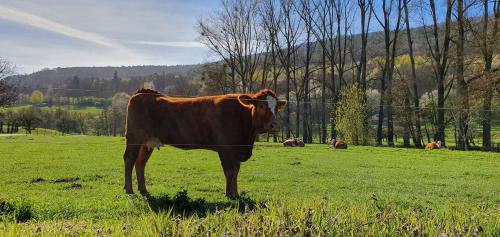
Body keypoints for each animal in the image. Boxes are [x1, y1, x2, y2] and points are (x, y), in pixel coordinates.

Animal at [123, 88, 286, 199]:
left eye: (277, 107)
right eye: (261, 106)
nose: (275, 126)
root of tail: (142, 92)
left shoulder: (236, 150)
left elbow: (236, 171)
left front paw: (236, 193)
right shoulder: (226, 149)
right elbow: (230, 171)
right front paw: (230, 194)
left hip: (146, 143)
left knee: (140, 163)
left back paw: (143, 189)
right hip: (133, 138)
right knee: (129, 159)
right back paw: (129, 190)